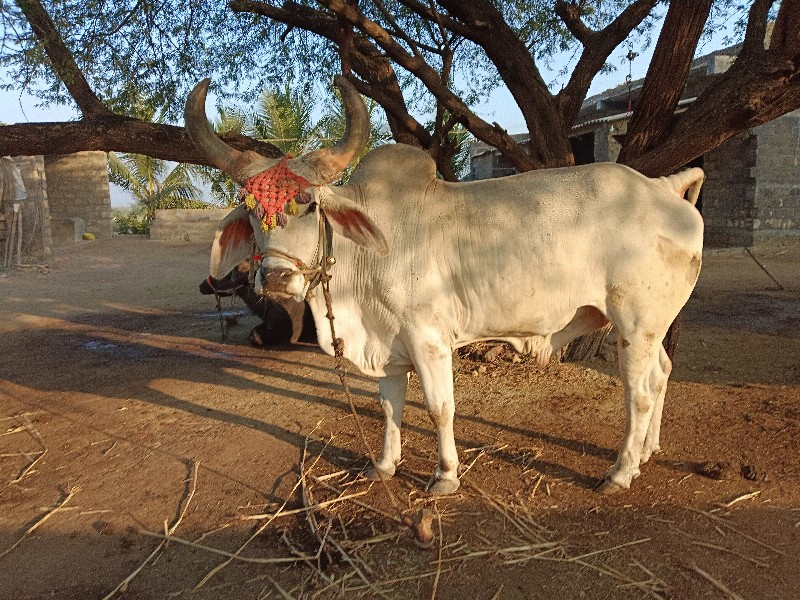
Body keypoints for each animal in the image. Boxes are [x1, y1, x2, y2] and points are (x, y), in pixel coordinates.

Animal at [184, 76, 704, 496]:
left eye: (310, 204)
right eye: (251, 209)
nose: (275, 277)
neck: (366, 259)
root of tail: (662, 187)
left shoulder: (428, 339)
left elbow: (439, 408)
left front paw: (445, 476)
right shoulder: (387, 346)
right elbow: (390, 407)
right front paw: (384, 465)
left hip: (635, 325)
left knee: (638, 392)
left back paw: (621, 471)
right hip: (653, 326)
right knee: (661, 373)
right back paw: (648, 451)